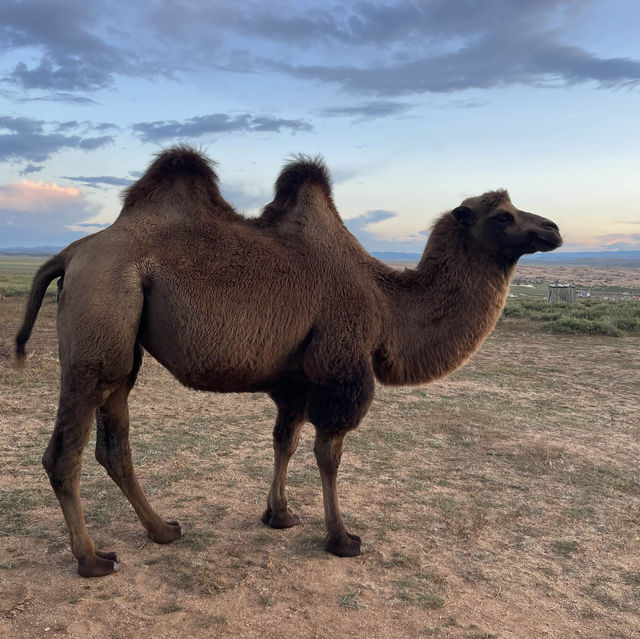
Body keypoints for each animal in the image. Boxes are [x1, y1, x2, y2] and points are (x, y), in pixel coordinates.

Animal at [15, 148, 564, 576]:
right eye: (503, 215)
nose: (554, 228)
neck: (387, 304)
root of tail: (69, 254)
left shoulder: (297, 380)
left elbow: (286, 441)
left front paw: (278, 514)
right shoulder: (341, 370)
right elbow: (328, 454)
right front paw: (342, 539)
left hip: (122, 350)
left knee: (115, 443)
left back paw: (163, 530)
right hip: (99, 326)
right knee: (65, 452)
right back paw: (92, 560)